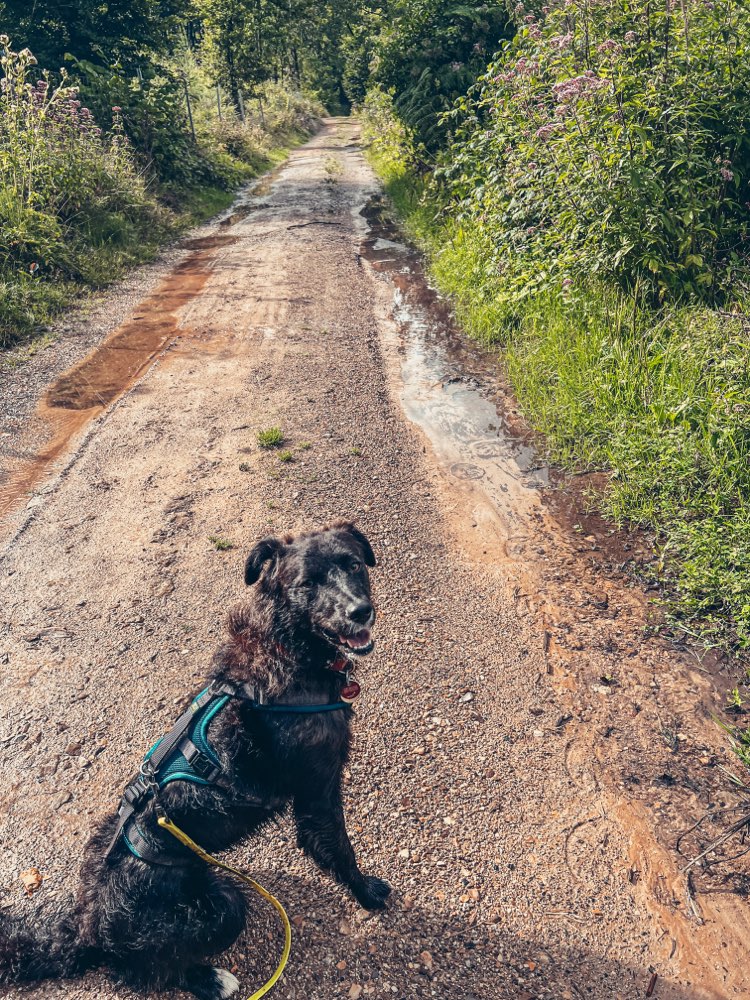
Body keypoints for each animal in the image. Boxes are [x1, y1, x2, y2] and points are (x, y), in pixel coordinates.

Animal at [1, 520, 394, 996]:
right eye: (307, 584)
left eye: (352, 564)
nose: (360, 611)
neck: (288, 647)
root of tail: (86, 928)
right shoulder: (317, 793)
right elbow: (339, 849)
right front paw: (366, 893)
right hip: (220, 907)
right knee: (142, 973)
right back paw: (210, 979)